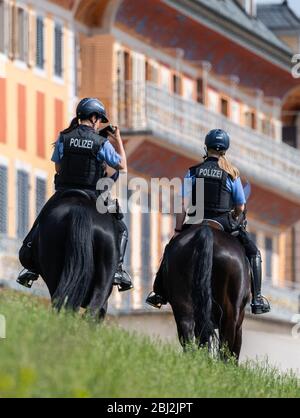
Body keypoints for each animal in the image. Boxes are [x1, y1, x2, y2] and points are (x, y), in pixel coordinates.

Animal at [157, 222, 251, 360]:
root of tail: (206, 231)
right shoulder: (240, 319)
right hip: (232, 313)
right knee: (226, 343)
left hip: (183, 300)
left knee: (187, 328)